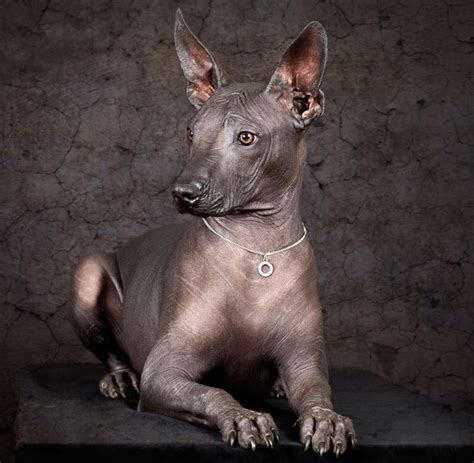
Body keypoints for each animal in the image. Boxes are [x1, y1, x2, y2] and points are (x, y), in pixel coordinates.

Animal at [71, 9, 356, 458]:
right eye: (192, 132)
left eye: (246, 137)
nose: (183, 193)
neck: (258, 248)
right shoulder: (163, 371)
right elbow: (213, 394)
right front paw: (244, 417)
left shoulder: (305, 363)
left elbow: (317, 395)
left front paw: (327, 421)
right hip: (87, 272)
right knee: (111, 351)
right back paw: (118, 376)